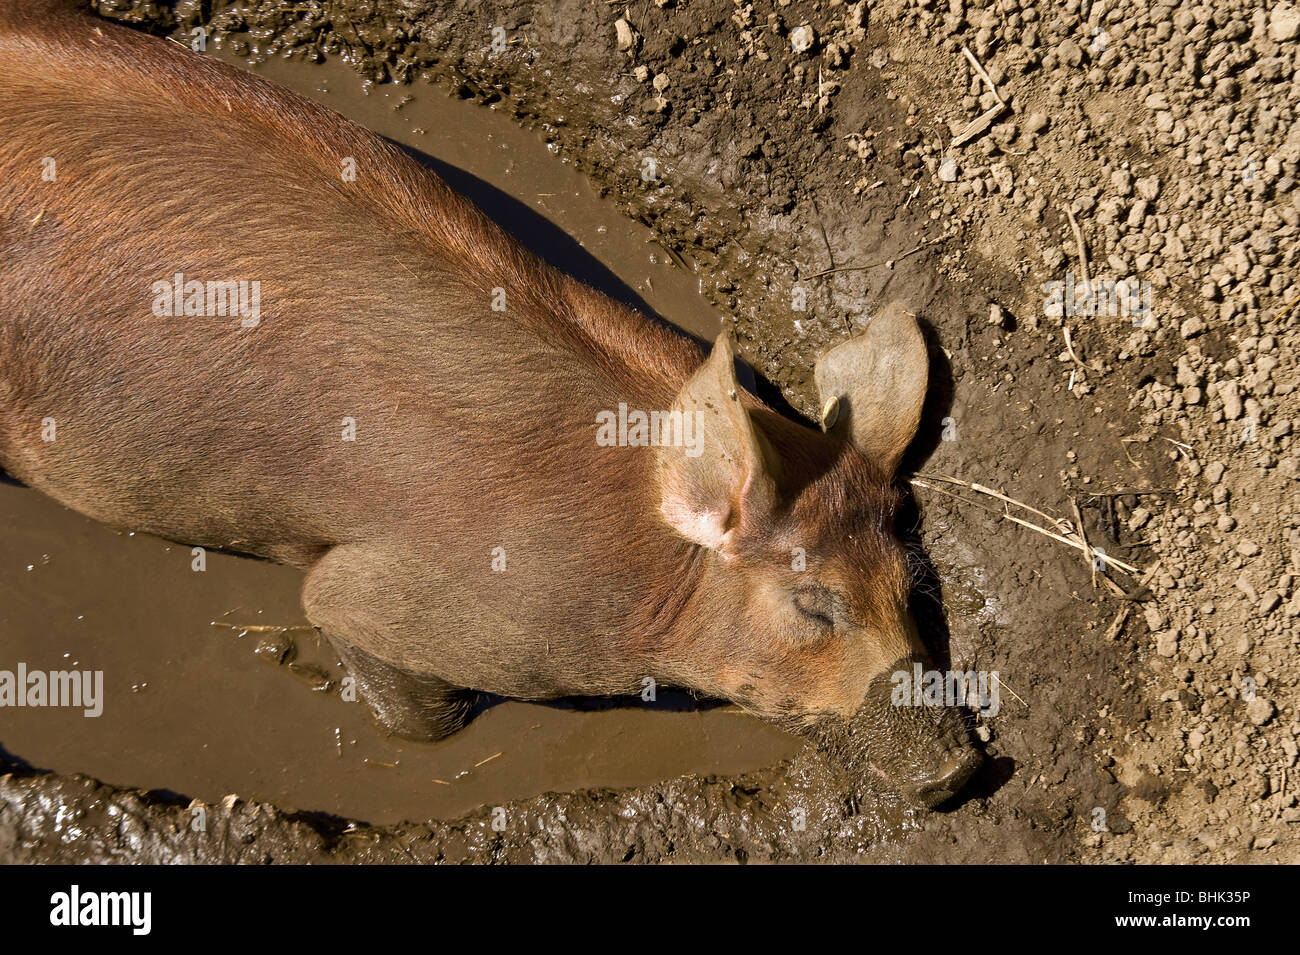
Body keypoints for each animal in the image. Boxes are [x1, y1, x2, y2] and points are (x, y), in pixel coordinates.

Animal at [0, 0, 977, 805]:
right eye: (814, 605)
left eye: (912, 584)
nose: (963, 770)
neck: (648, 562)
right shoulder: (399, 599)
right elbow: (392, 674)